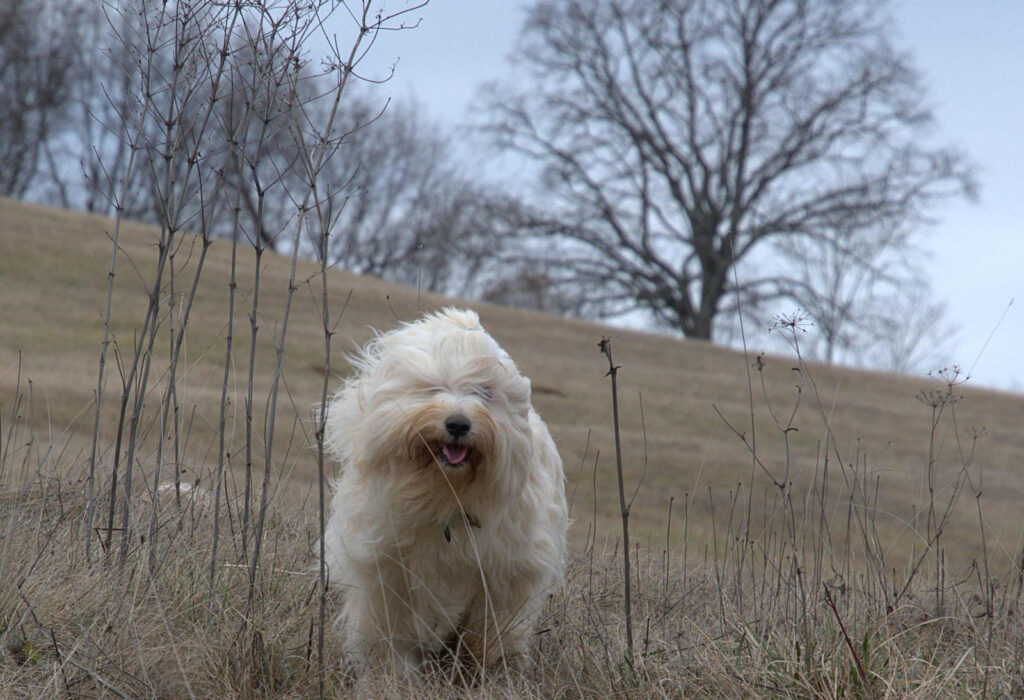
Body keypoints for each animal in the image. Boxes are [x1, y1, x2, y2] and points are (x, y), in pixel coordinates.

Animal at [323, 308, 568, 675]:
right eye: (433, 388)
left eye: (483, 392)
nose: (458, 424)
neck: (445, 492)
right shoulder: (387, 572)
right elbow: (389, 631)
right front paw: (389, 675)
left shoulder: (504, 576)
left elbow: (494, 631)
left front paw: (491, 671)